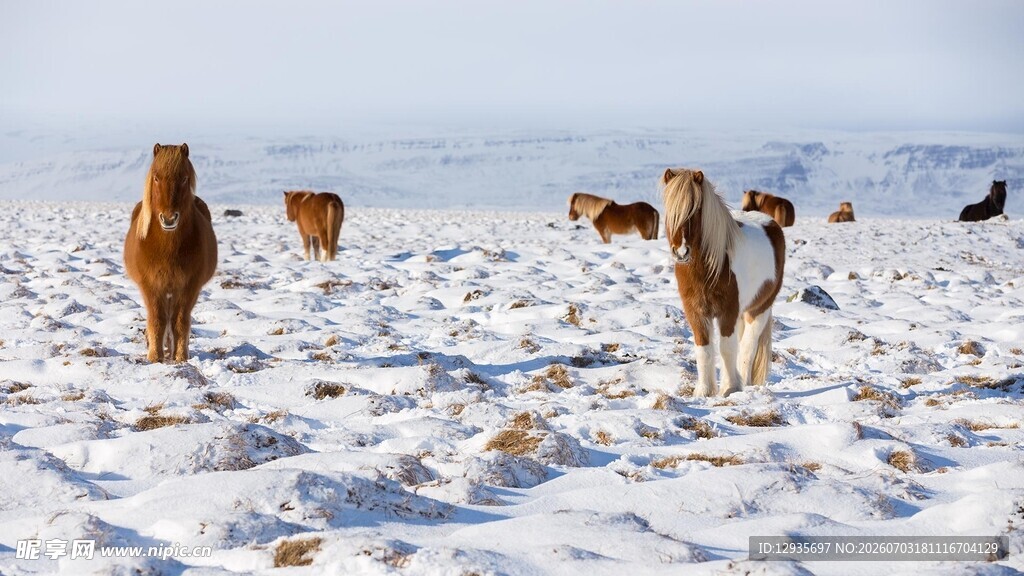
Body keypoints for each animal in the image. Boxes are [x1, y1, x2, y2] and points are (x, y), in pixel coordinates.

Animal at [124, 143, 217, 363]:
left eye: (184, 178)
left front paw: (181, 356)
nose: (168, 219)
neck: (167, 248)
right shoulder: (150, 285)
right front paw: (155, 356)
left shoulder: (189, 286)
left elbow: (180, 321)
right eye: (157, 178)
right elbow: (157, 320)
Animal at [661, 168, 786, 397]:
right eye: (669, 209)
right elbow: (703, 349)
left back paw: (744, 382)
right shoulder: (696, 312)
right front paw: (704, 391)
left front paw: (730, 388)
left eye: (696, 209)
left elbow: (727, 349)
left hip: (759, 309)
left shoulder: (728, 311)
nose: (681, 252)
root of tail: (770, 222)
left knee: (747, 347)